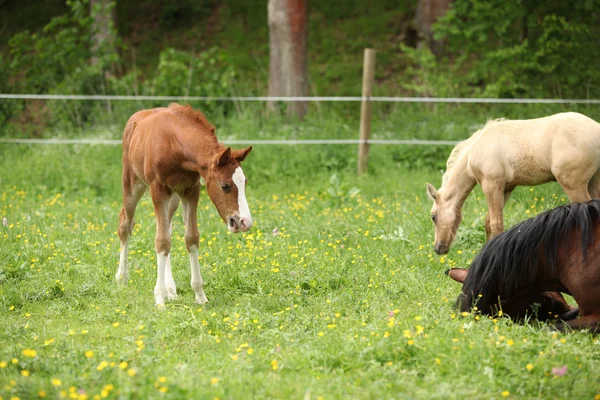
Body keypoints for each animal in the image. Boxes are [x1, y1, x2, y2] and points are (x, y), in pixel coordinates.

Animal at [115, 103, 253, 306]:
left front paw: (200, 295)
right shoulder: (158, 190)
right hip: (132, 184)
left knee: (167, 229)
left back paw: (171, 289)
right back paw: (122, 278)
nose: (245, 222)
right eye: (225, 185)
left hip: (173, 198)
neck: (174, 142)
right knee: (126, 223)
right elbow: (161, 241)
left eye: (244, 182)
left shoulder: (191, 190)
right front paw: (159, 299)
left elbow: (191, 238)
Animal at [424, 110, 600, 253]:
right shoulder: (507, 188)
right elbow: (488, 222)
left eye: (433, 216)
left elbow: (496, 223)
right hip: (593, 183)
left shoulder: (491, 185)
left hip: (573, 185)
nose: (438, 248)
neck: (476, 149)